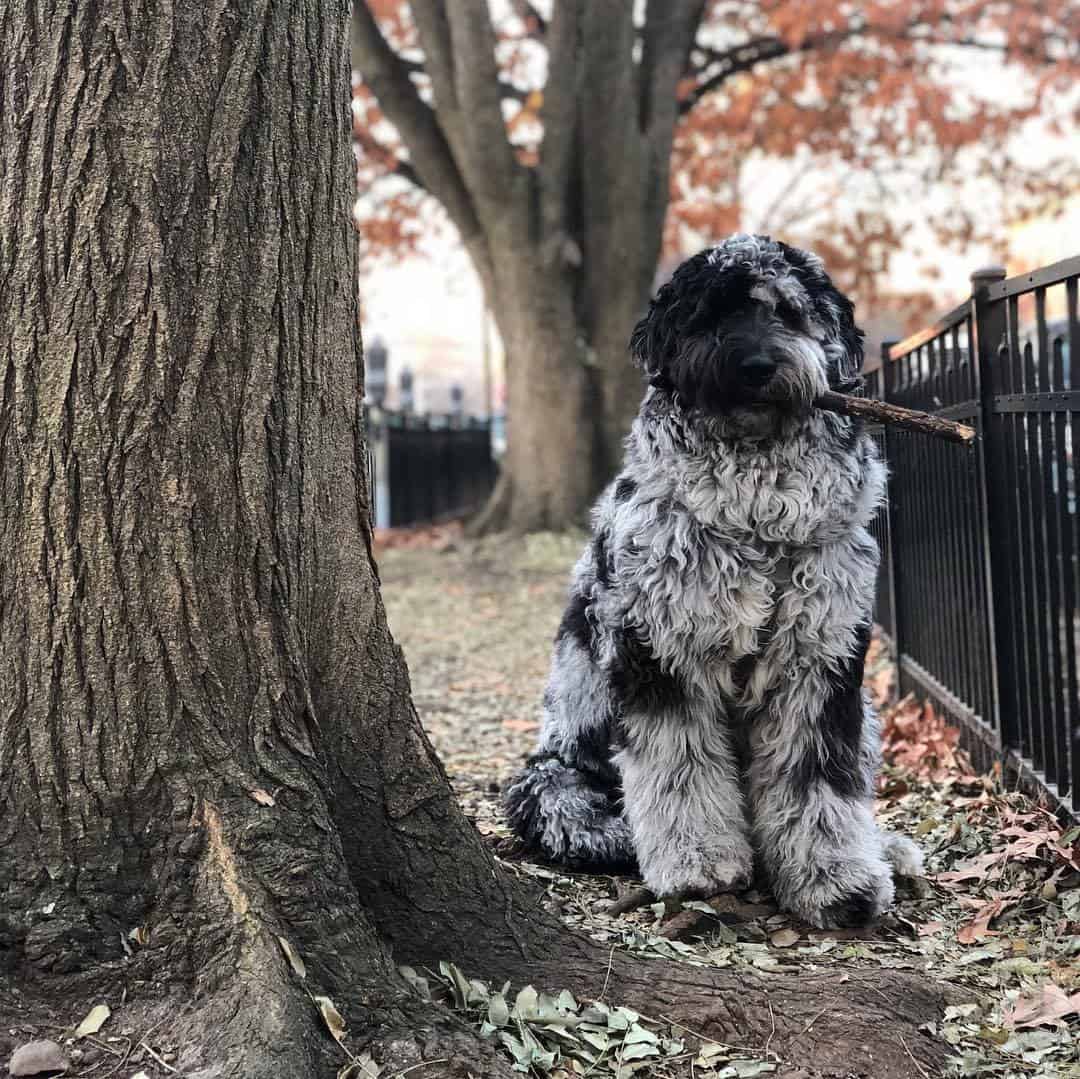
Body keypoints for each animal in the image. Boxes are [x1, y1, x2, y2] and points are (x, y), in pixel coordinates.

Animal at [503, 234, 920, 928]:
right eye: (711, 315)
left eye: (788, 311)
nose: (754, 365)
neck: (756, 521)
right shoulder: (663, 652)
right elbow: (682, 770)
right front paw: (698, 865)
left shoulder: (820, 659)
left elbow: (817, 777)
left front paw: (835, 878)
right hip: (555, 783)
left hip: (864, 716)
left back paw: (887, 846)